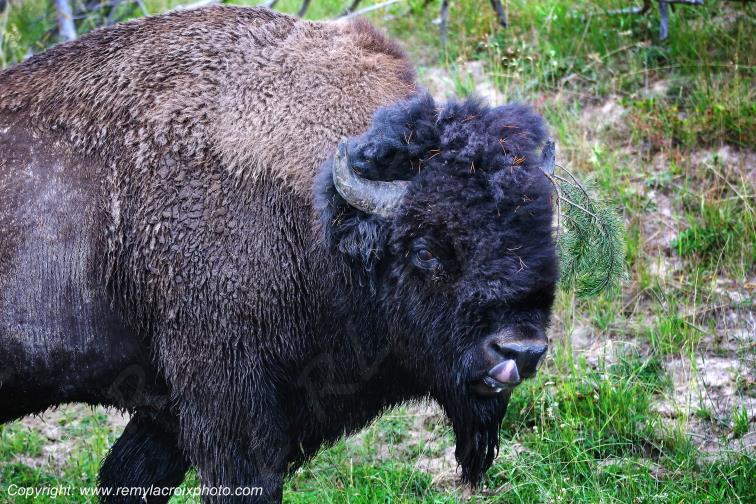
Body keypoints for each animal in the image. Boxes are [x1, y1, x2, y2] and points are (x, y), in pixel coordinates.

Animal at [0, 6, 557, 502]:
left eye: (542, 238)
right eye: (425, 251)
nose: (519, 351)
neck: (322, 219)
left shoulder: (171, 415)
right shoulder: (228, 405)